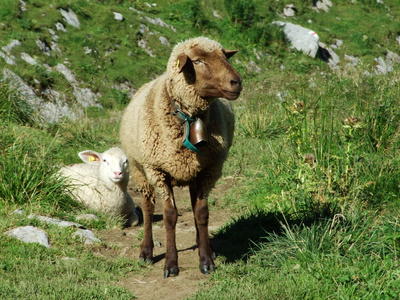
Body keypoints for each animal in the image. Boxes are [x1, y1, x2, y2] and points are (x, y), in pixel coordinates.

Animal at [120, 36, 242, 278]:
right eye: (198, 61)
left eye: (225, 57)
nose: (237, 82)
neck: (188, 118)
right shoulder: (159, 172)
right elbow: (170, 216)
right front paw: (170, 264)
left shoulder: (208, 170)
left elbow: (201, 213)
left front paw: (206, 261)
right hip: (141, 172)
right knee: (148, 209)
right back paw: (146, 252)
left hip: (194, 172)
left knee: (195, 209)